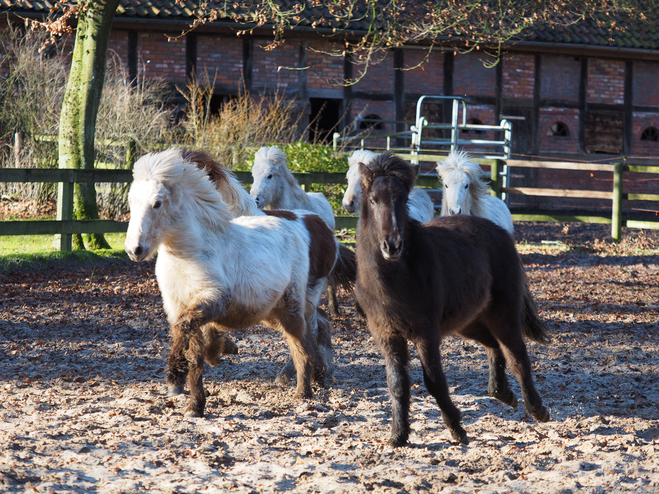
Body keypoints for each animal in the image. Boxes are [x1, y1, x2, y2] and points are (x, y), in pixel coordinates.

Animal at [125, 148, 338, 416]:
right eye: (131, 202)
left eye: (157, 203)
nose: (134, 249)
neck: (190, 253)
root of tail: (316, 224)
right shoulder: (178, 307)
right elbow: (194, 353)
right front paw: (195, 405)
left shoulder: (214, 300)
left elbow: (187, 330)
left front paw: (175, 378)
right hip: (272, 312)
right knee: (309, 335)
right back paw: (316, 378)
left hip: (294, 306)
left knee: (302, 343)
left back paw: (304, 392)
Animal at [356, 151, 552, 448]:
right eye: (373, 199)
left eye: (403, 199)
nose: (393, 245)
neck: (399, 275)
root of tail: (499, 231)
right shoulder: (387, 335)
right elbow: (396, 384)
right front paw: (398, 435)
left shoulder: (425, 333)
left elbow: (434, 381)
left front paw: (457, 429)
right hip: (468, 321)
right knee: (493, 345)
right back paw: (502, 393)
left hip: (503, 313)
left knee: (517, 356)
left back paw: (536, 408)